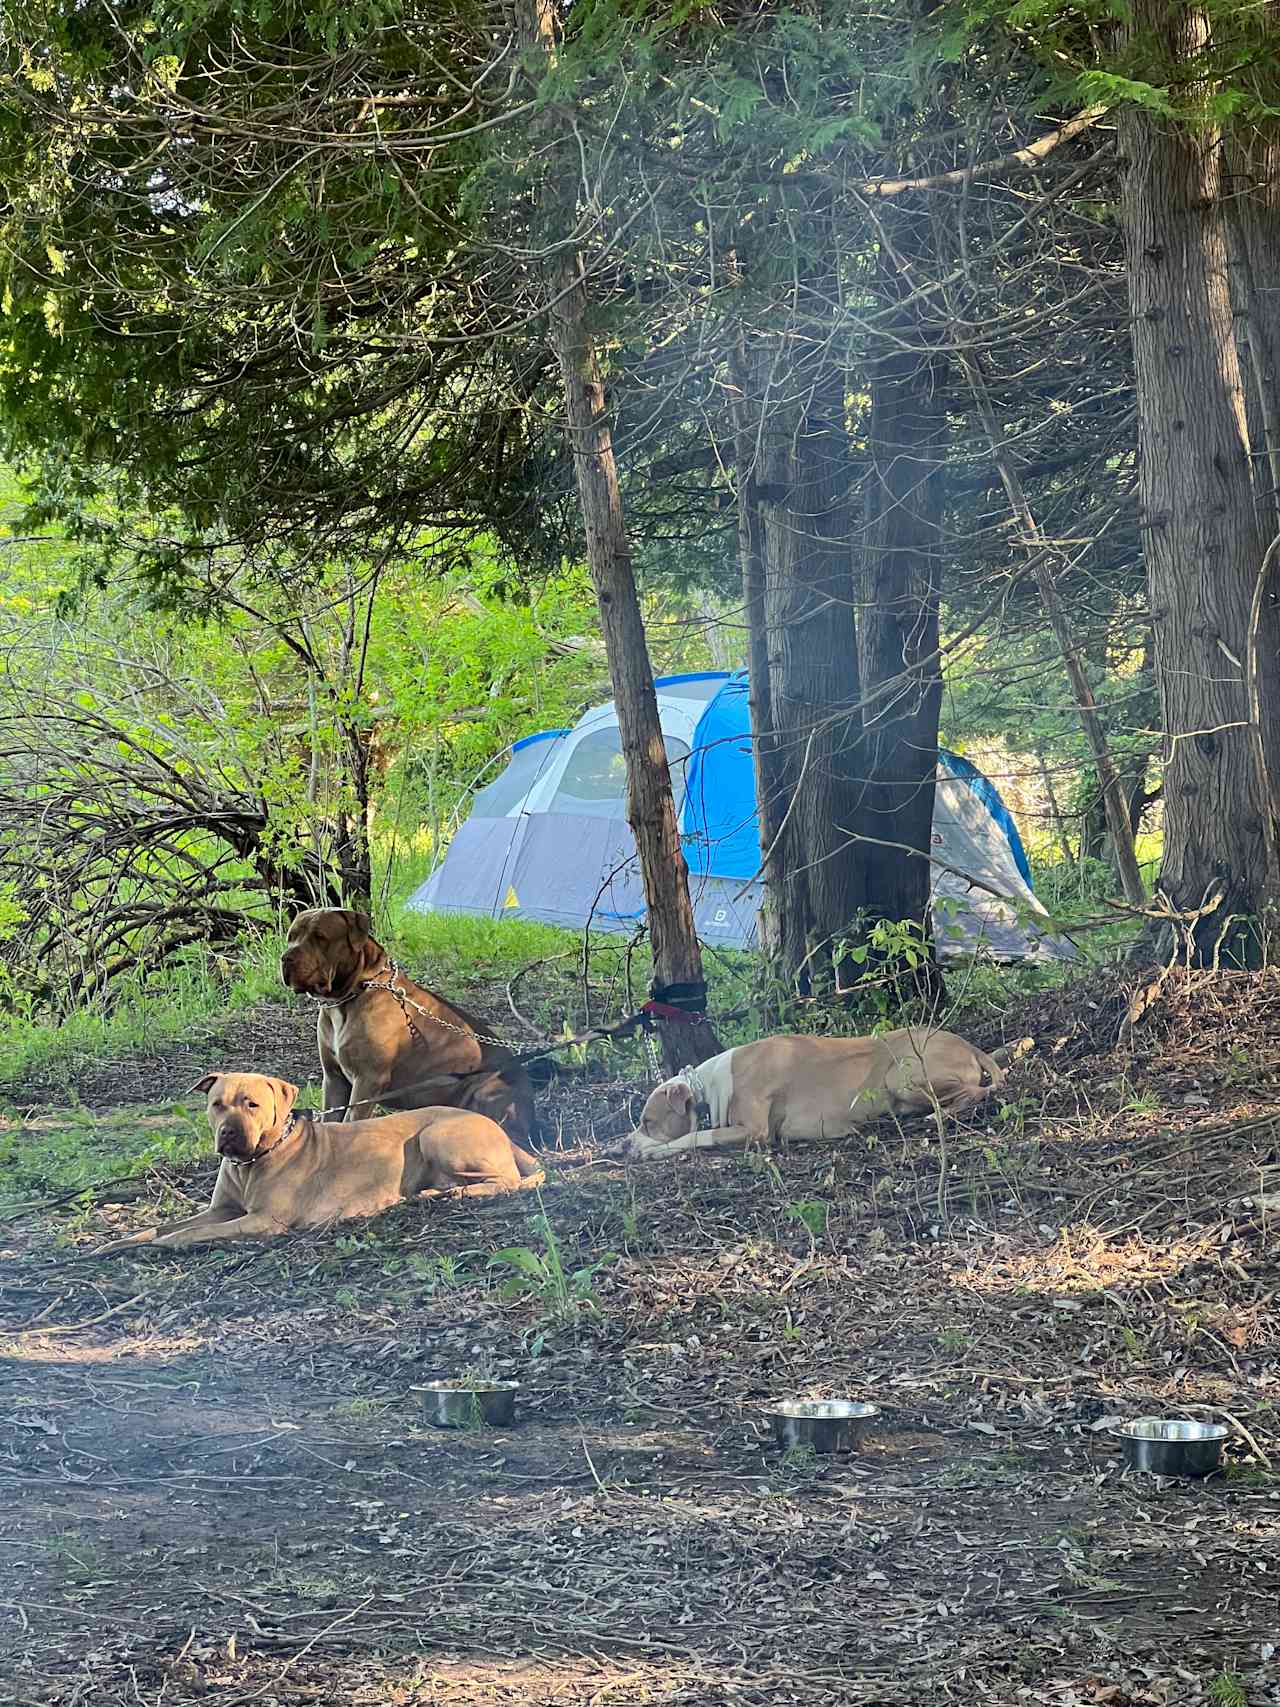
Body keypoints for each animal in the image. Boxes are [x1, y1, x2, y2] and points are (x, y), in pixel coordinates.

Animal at [97, 1065, 542, 1256]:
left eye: (252, 1104)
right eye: (216, 1104)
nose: (229, 1134)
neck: (253, 1161)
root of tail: (498, 1128)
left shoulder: (262, 1220)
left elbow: (193, 1232)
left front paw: (164, 1244)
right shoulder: (221, 1208)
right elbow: (165, 1225)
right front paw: (120, 1242)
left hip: (436, 1135)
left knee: (510, 1181)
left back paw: (454, 1195)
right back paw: (436, 1193)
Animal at [278, 908, 539, 1147]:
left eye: (320, 937)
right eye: (291, 936)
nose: (286, 957)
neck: (348, 997)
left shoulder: (368, 1080)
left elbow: (352, 1120)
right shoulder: (334, 1078)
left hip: (487, 1087)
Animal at [621, 1024, 1024, 1160]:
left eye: (648, 1121)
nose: (623, 1145)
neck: (711, 1085)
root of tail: (969, 1044)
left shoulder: (754, 1131)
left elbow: (697, 1136)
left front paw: (652, 1149)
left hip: (901, 1074)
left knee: (975, 1092)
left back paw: (938, 1115)